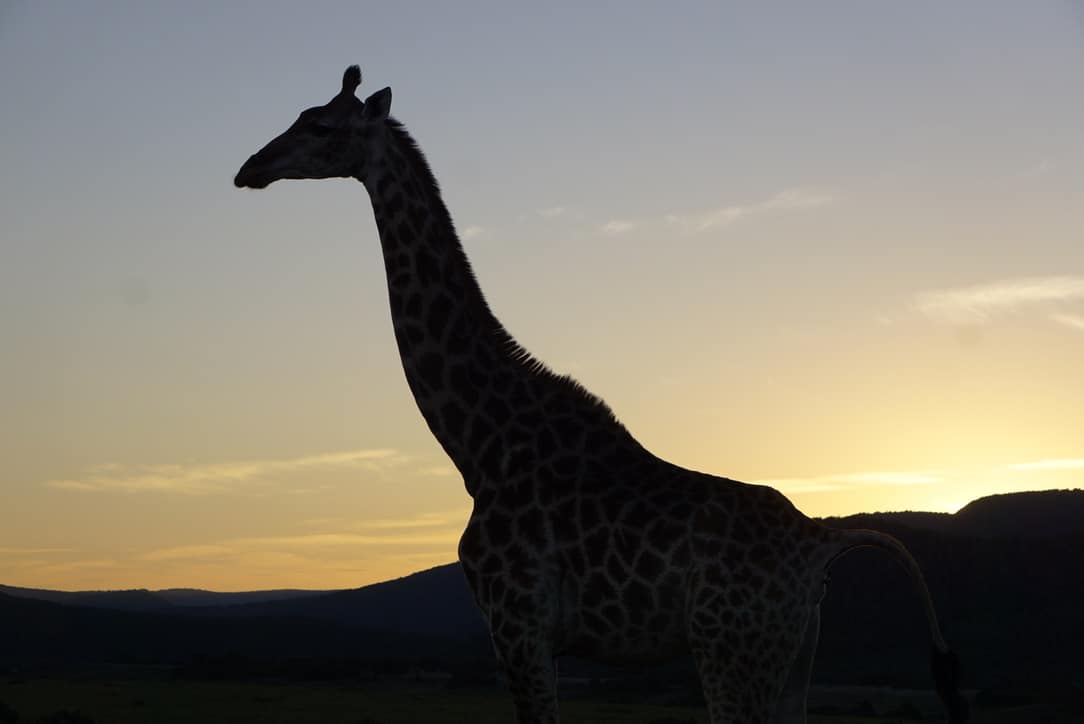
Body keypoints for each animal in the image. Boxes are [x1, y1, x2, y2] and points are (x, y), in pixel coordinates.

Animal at [234, 67, 968, 724]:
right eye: (300, 115)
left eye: (320, 125)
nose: (249, 167)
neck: (477, 446)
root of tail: (818, 543)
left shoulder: (518, 623)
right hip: (789, 661)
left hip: (732, 653)